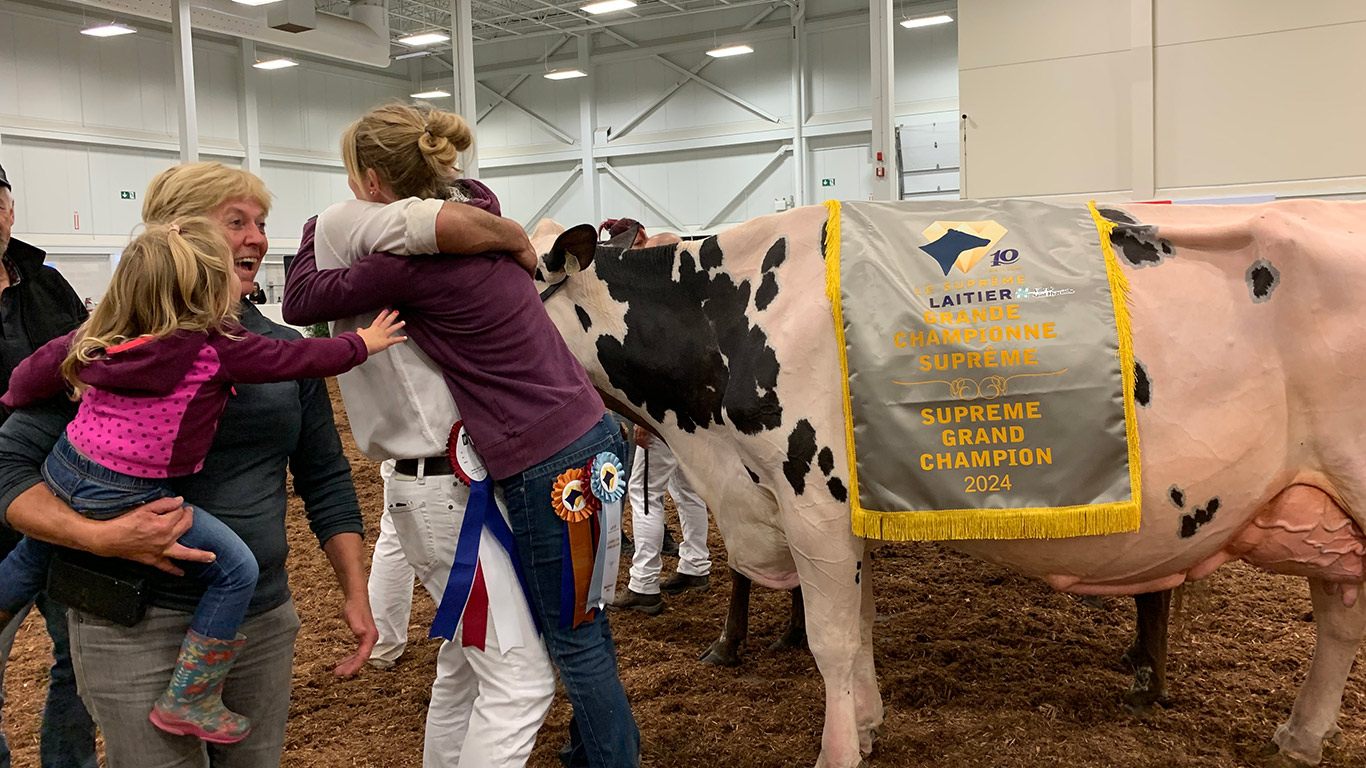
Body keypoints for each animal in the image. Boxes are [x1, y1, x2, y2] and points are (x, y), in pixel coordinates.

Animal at [530, 202, 1366, 765]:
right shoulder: (845, 510)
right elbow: (862, 625)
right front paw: (869, 725)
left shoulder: (813, 500)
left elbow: (831, 639)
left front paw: (837, 751)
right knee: (1339, 622)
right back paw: (1299, 736)